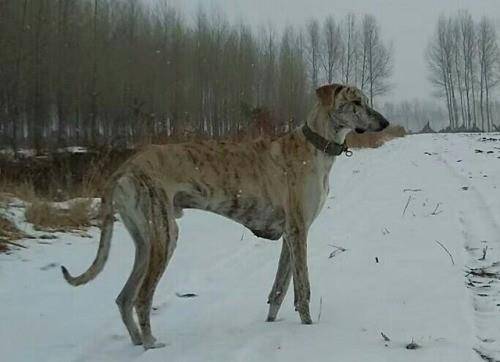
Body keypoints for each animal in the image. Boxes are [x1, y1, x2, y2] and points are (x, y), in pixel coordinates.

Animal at [60, 83, 390, 350]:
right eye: (355, 102)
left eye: (365, 100)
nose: (385, 122)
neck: (314, 146)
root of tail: (125, 167)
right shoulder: (299, 231)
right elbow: (302, 289)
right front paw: (308, 329)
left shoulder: (289, 235)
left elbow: (279, 288)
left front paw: (272, 324)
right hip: (165, 236)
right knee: (141, 298)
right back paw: (152, 344)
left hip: (145, 240)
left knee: (123, 298)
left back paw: (138, 341)